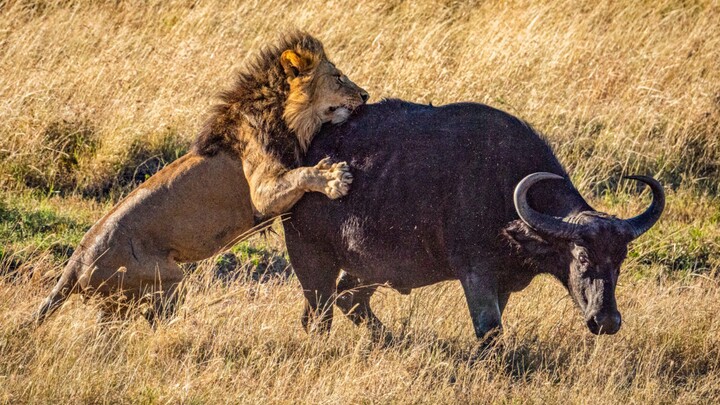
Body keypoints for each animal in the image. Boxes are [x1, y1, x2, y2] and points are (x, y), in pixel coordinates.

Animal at [31, 31, 368, 326]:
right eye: (338, 76)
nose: (366, 95)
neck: (283, 114)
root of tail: (76, 259)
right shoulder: (261, 193)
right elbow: (300, 174)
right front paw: (334, 178)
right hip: (165, 277)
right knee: (153, 317)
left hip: (120, 300)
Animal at [284, 99, 668, 340]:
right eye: (583, 257)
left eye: (620, 260)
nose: (607, 321)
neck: (504, 192)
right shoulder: (476, 275)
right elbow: (490, 331)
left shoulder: (503, 284)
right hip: (310, 258)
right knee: (321, 315)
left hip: (369, 267)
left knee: (347, 300)